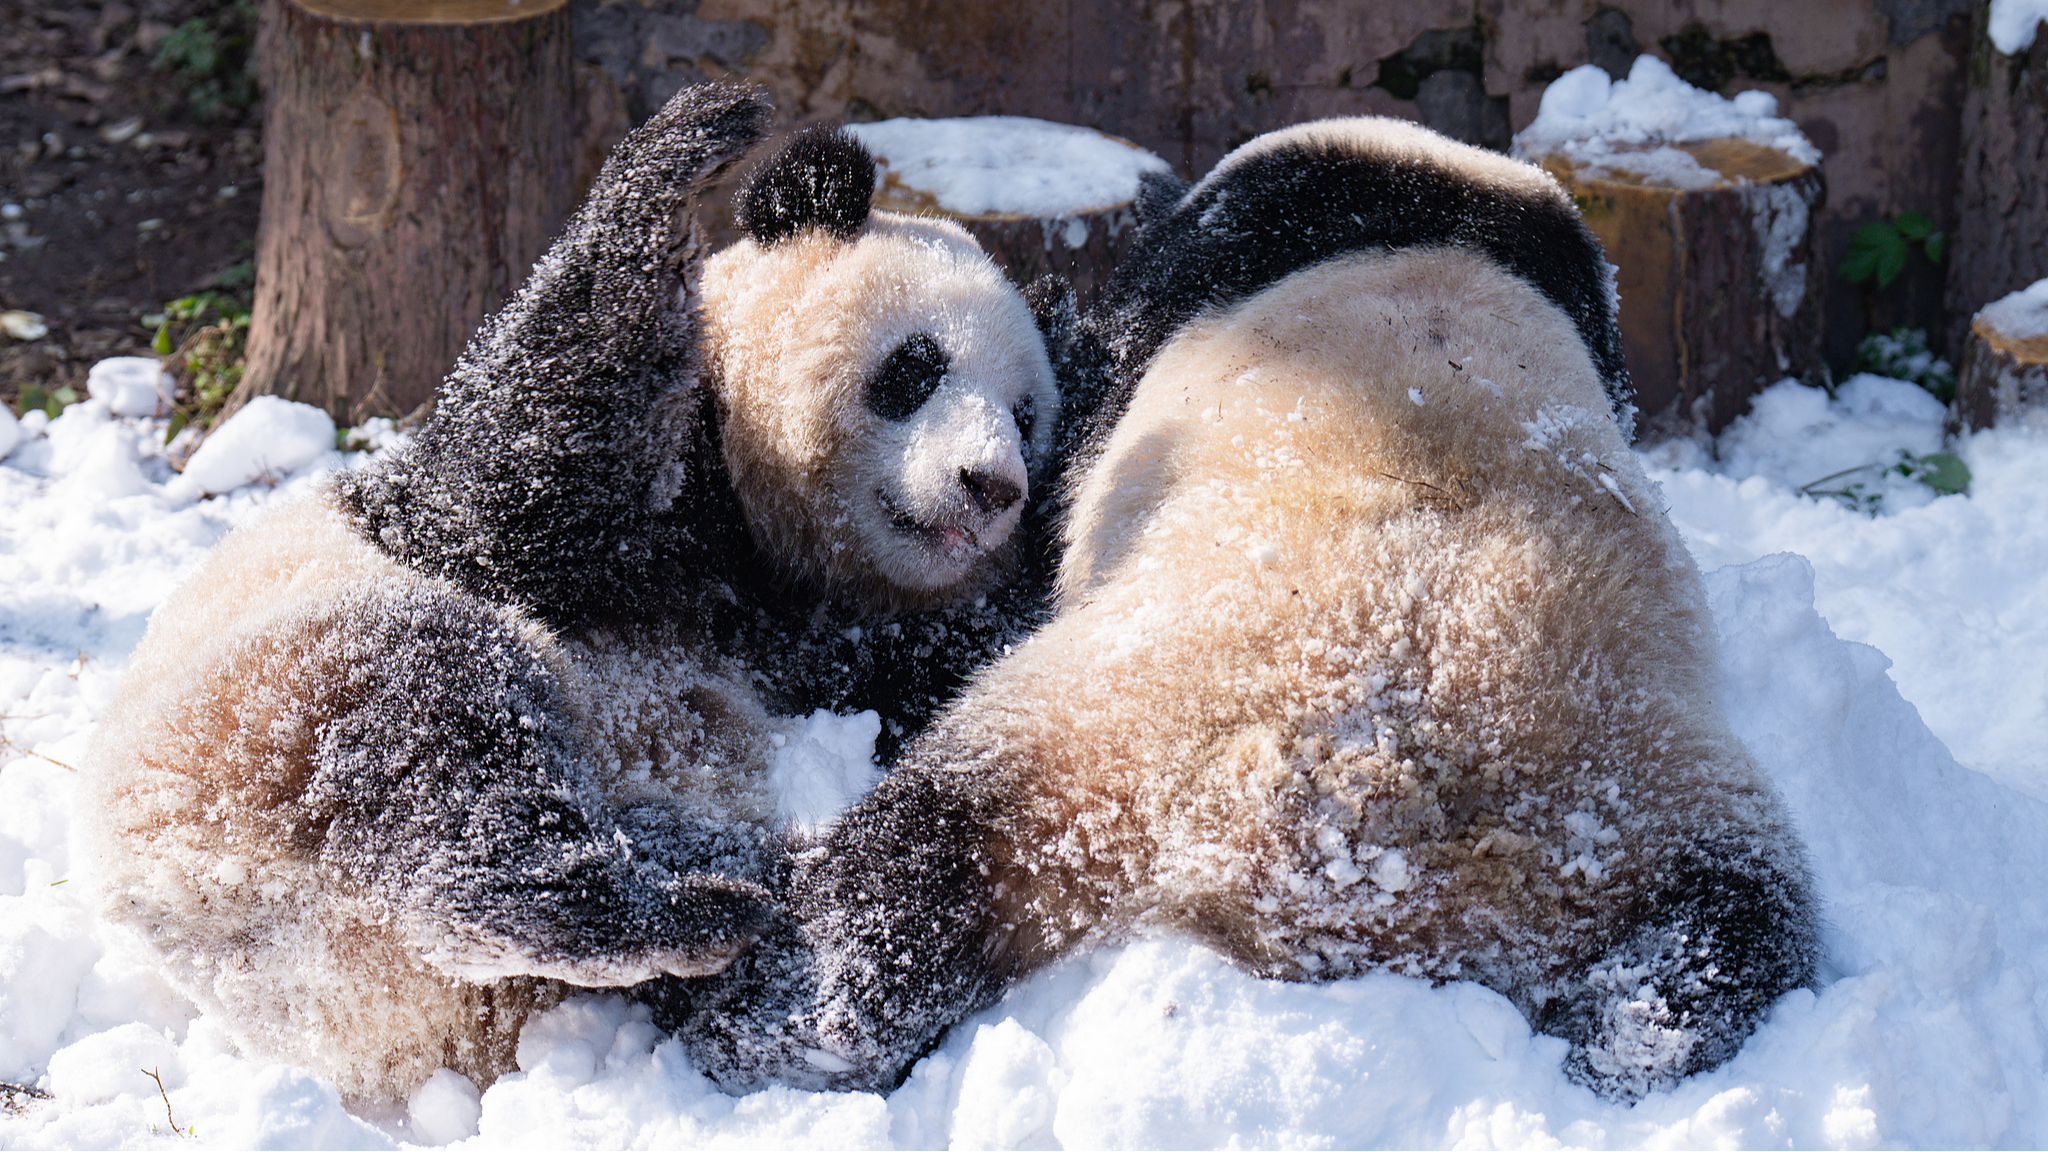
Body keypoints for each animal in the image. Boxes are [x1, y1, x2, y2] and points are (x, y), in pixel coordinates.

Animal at [81, 83, 1073, 1106]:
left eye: (1025, 417)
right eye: (916, 368)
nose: (991, 486)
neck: (766, 529)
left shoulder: (803, 637)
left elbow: (936, 655)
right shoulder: (546, 517)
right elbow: (522, 460)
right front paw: (692, 142)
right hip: (258, 718)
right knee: (435, 737)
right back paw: (647, 913)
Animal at [659, 114, 1826, 1090]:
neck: (1438, 203)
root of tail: (1373, 814)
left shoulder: (1213, 255)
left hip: (1116, 722)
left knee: (908, 867)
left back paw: (758, 1015)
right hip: (1636, 799)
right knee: (1736, 931)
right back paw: (1633, 1029)